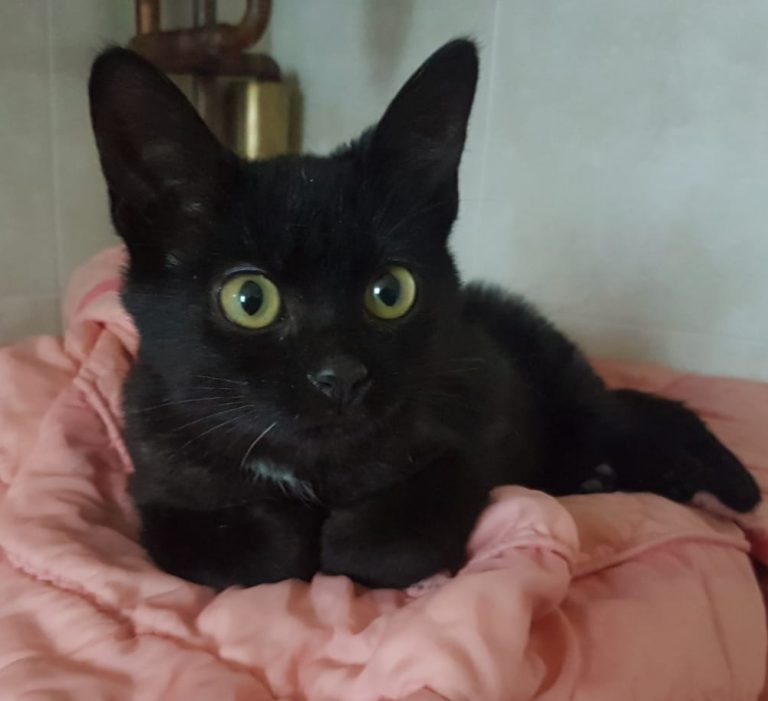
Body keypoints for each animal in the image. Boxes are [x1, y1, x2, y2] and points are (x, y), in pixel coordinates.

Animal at [89, 39, 760, 590]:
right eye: (249, 300)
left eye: (391, 291)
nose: (341, 375)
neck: (315, 469)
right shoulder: (154, 474)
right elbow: (245, 554)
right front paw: (291, 536)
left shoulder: (477, 423)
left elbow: (384, 542)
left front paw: (337, 542)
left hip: (572, 396)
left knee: (636, 420)